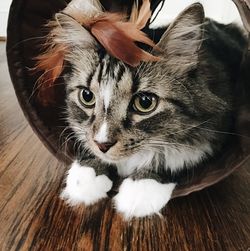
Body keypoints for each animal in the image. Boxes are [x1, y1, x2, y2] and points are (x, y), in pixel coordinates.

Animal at [46, 2, 246, 218]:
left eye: (145, 102)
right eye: (87, 96)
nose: (103, 144)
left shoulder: (216, 132)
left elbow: (175, 158)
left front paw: (140, 189)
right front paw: (84, 178)